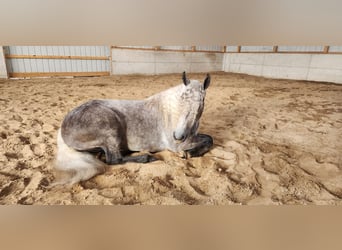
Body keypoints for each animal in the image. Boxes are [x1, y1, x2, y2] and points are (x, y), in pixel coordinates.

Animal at [54, 72, 212, 184]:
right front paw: (189, 153)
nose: (178, 135)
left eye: (201, 101)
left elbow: (209, 138)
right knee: (113, 159)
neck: (170, 113)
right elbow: (209, 139)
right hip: (111, 128)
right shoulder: (176, 145)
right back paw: (147, 157)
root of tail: (63, 125)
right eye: (182, 99)